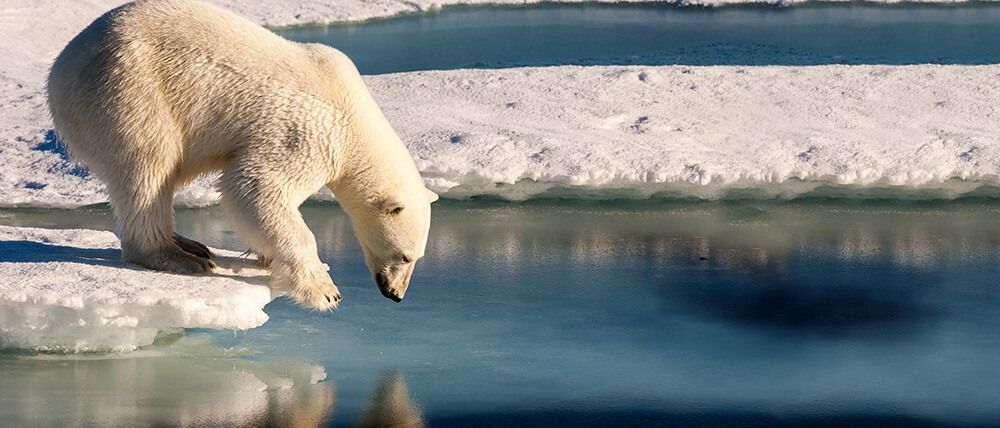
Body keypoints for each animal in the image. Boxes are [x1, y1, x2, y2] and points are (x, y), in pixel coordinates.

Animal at [46, 0, 436, 310]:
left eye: (417, 256)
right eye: (404, 255)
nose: (395, 294)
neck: (354, 114)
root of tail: (61, 68)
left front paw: (265, 254)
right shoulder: (308, 130)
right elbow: (253, 186)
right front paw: (325, 290)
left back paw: (191, 244)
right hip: (129, 90)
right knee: (148, 166)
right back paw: (179, 257)